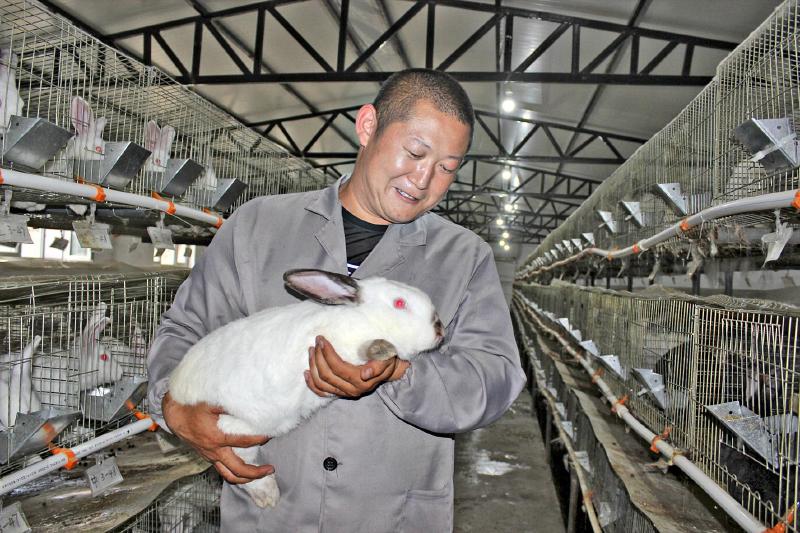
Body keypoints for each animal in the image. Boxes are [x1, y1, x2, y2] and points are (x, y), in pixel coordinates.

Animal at [170, 270, 444, 508]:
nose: (440, 329)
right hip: (235, 435)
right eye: (399, 303)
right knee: (245, 472)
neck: (365, 319)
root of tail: (175, 388)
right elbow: (364, 349)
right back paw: (269, 496)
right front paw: (383, 349)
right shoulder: (340, 344)